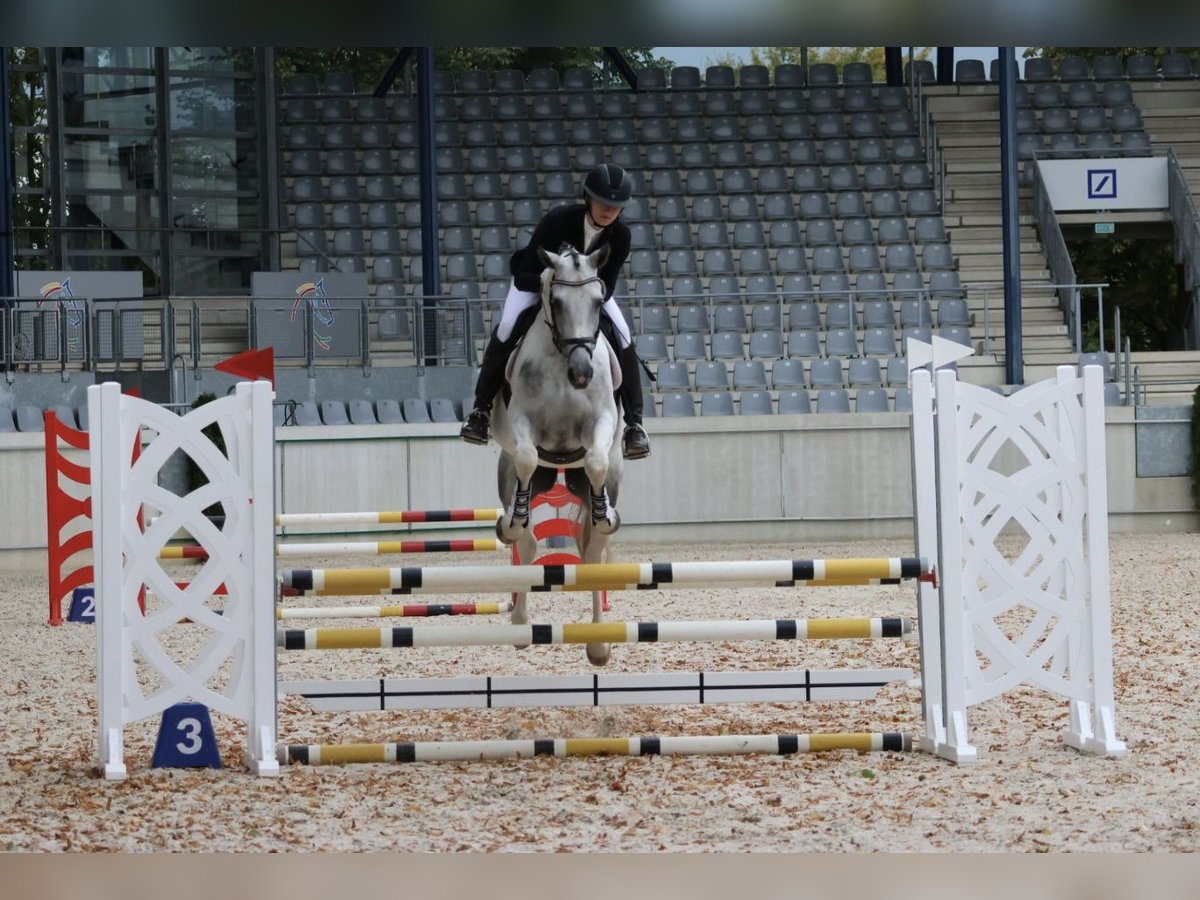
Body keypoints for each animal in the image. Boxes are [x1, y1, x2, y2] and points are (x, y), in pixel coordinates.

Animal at [487, 243, 624, 667]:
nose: (581, 373)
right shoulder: (523, 427)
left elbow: (596, 459)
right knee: (527, 542)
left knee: (593, 552)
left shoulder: (601, 423)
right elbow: (527, 458)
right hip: (512, 473)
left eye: (598, 300)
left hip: (604, 479)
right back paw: (519, 626)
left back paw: (598, 644)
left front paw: (604, 513)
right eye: (558, 302)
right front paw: (513, 519)